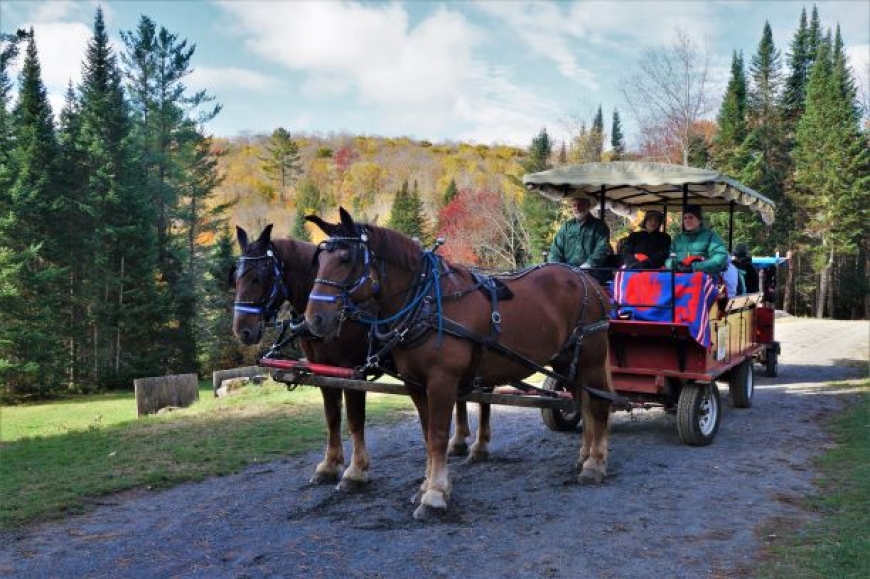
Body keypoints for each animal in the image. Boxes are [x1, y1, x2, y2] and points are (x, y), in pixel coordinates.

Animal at [304, 208, 615, 520]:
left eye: (346, 258)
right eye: (319, 261)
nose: (314, 319)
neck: (426, 301)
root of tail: (587, 280)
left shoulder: (442, 381)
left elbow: (439, 435)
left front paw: (435, 494)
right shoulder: (415, 384)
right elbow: (427, 435)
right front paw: (427, 485)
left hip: (591, 359)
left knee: (598, 406)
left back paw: (595, 464)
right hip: (567, 363)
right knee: (582, 402)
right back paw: (584, 456)